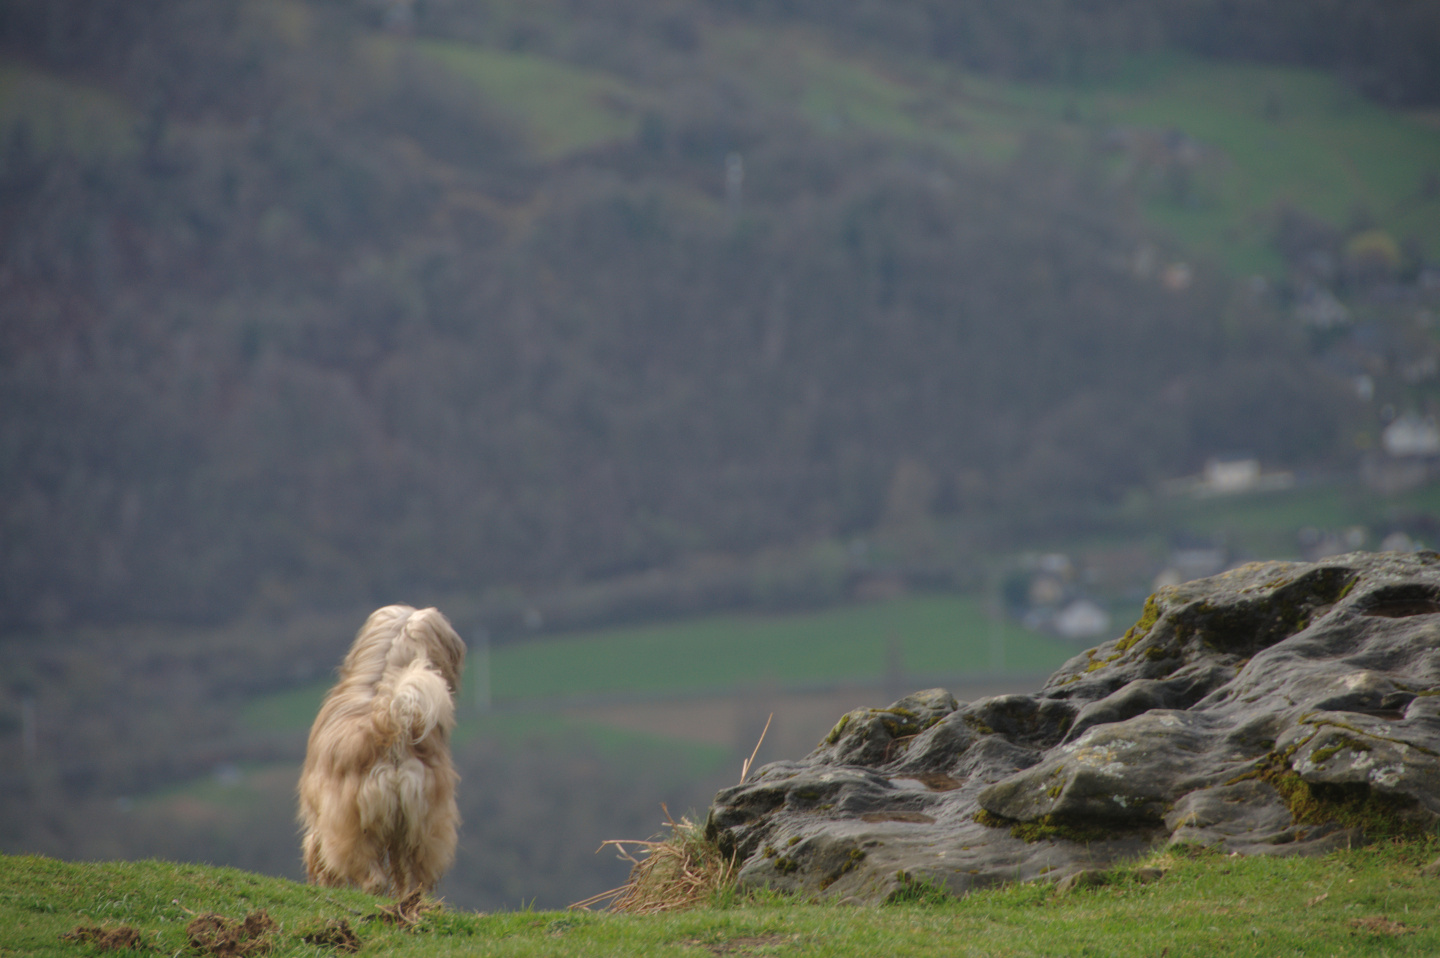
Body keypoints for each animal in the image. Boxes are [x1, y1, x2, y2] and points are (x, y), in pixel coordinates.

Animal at [299, 605, 466, 898]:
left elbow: (317, 855)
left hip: (350, 827)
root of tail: (391, 726)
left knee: (370, 876)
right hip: (425, 827)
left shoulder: (321, 816)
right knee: (414, 877)